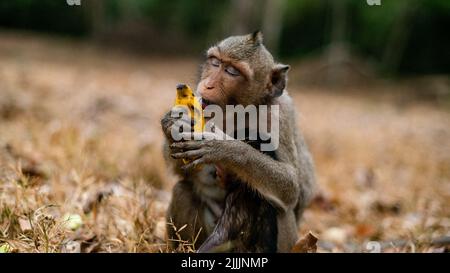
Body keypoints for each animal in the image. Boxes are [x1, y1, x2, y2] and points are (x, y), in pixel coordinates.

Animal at [160, 30, 314, 252]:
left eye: (232, 71)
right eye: (215, 62)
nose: (208, 84)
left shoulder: (279, 115)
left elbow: (291, 186)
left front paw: (225, 149)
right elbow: (183, 171)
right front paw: (174, 123)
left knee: (279, 207)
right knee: (183, 190)